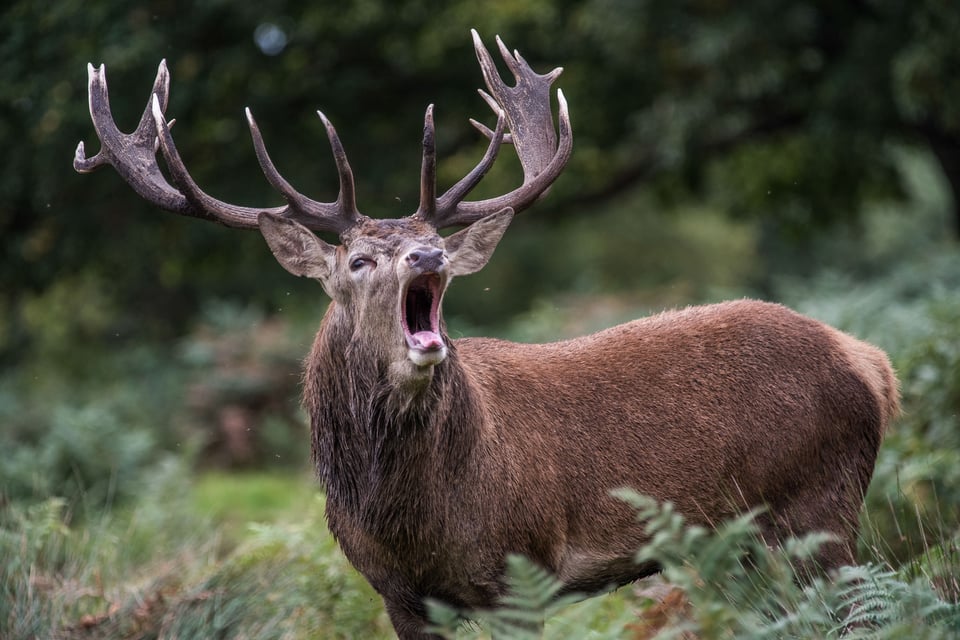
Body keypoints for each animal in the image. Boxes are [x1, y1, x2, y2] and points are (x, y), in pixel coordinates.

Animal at [75, 30, 900, 640]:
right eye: (360, 259)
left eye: (431, 238)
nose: (429, 256)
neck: (412, 519)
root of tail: (869, 361)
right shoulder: (399, 595)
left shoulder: (521, 568)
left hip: (820, 503)